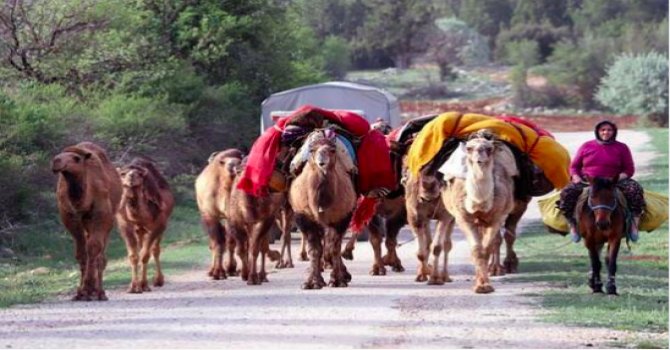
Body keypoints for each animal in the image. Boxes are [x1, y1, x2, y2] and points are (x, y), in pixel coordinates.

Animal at [51, 142, 122, 300]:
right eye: (59, 155)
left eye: (76, 158)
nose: (56, 161)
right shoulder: (70, 217)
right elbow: (81, 252)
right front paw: (81, 292)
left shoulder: (102, 216)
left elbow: (94, 248)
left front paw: (90, 289)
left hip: (107, 222)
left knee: (101, 254)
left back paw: (101, 293)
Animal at [118, 158, 176, 292]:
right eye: (123, 174)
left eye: (139, 174)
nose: (131, 176)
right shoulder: (124, 226)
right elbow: (133, 256)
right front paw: (133, 287)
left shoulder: (157, 225)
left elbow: (145, 255)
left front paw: (144, 285)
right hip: (139, 231)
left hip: (161, 227)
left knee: (155, 249)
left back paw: (158, 280)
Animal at [194, 149, 244, 280]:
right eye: (228, 164)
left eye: (240, 161)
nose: (235, 165)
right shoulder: (210, 215)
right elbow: (217, 242)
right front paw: (218, 272)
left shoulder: (232, 216)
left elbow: (231, 242)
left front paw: (231, 268)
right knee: (215, 241)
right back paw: (212, 270)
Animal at [292, 130, 360, 288]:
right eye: (312, 150)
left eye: (332, 150)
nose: (322, 162)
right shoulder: (303, 216)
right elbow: (314, 249)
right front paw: (312, 282)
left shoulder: (342, 217)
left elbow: (335, 246)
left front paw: (337, 280)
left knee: (332, 242)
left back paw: (343, 274)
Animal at [446, 130, 520, 294]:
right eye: (469, 148)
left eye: (489, 149)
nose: (479, 160)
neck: (479, 204)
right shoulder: (464, 218)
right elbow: (477, 250)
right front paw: (480, 285)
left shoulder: (496, 218)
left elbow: (485, 249)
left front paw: (485, 285)